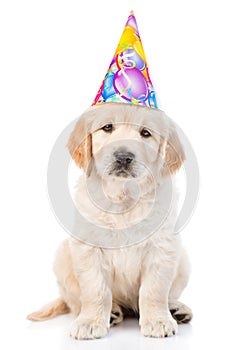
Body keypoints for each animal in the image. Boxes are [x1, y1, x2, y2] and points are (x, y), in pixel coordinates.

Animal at [27, 103, 193, 340]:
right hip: (63, 255)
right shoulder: (89, 249)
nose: (123, 156)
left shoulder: (162, 247)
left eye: (145, 133)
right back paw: (112, 312)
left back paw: (176, 309)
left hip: (183, 260)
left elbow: (154, 289)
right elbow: (96, 290)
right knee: (74, 303)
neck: (123, 198)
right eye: (107, 127)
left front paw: (158, 320)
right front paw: (90, 322)